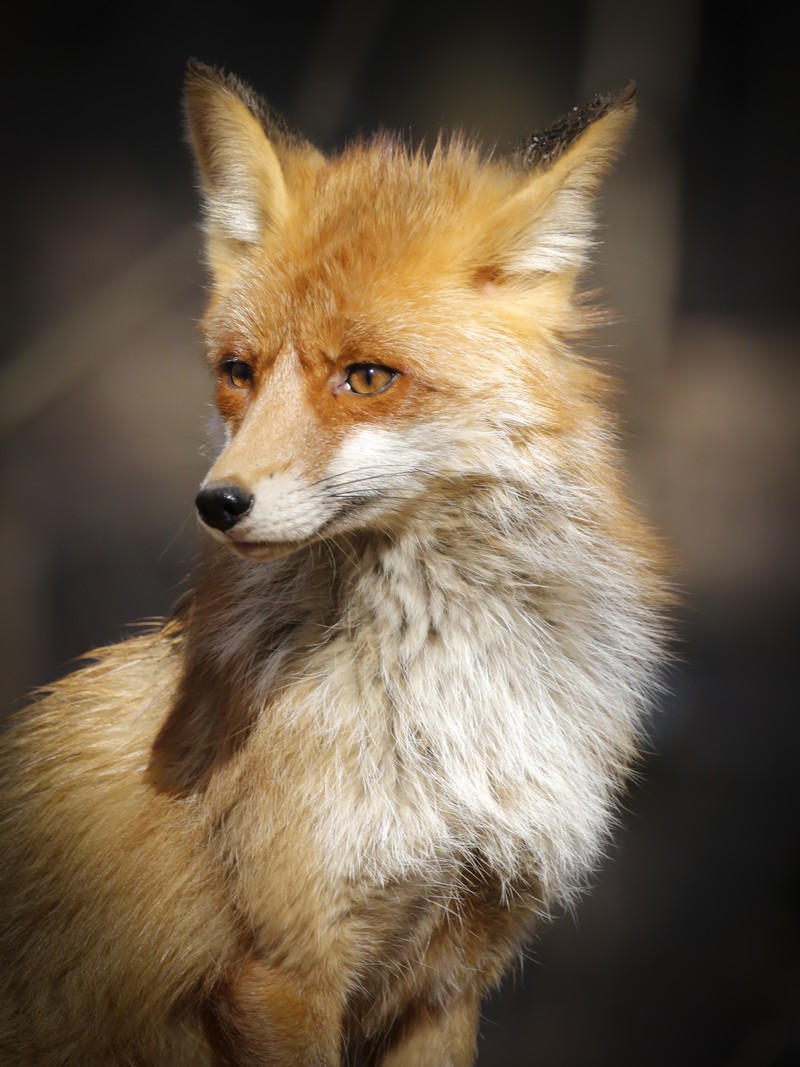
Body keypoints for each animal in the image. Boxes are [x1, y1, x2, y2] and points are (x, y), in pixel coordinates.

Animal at [0, 60, 667, 1066]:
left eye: (368, 377)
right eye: (238, 371)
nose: (217, 503)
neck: (444, 710)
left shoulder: (454, 969)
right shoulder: (282, 969)